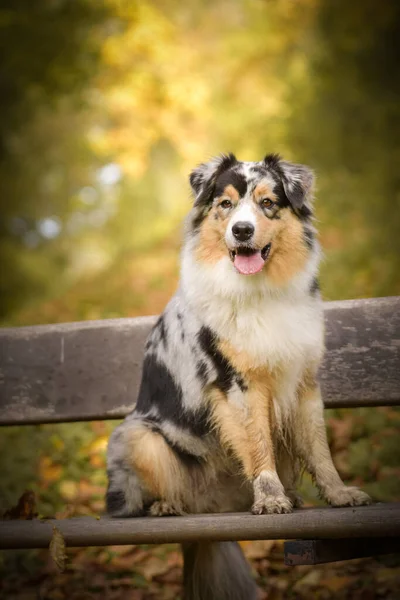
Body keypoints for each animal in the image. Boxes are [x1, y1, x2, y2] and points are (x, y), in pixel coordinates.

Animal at [104, 155, 370, 600]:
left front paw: (339, 494)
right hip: (138, 436)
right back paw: (167, 506)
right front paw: (270, 500)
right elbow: (258, 444)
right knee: (141, 497)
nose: (241, 230)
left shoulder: (304, 381)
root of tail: (213, 513)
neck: (259, 291)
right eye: (225, 205)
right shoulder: (238, 385)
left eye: (267, 203)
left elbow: (319, 449)